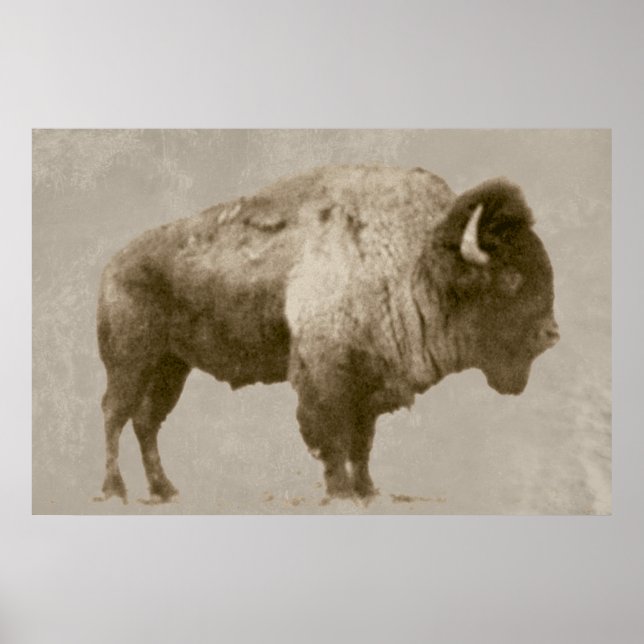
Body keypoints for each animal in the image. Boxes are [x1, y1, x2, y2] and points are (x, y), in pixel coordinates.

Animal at [96, 164, 559, 504]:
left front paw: (367, 491)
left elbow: (362, 443)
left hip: (171, 367)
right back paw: (115, 490)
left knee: (146, 422)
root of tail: (114, 265)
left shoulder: (369, 386)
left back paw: (165, 490)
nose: (551, 334)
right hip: (130, 363)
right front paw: (341, 493)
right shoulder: (326, 381)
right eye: (511, 278)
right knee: (115, 415)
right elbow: (332, 439)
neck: (414, 264)